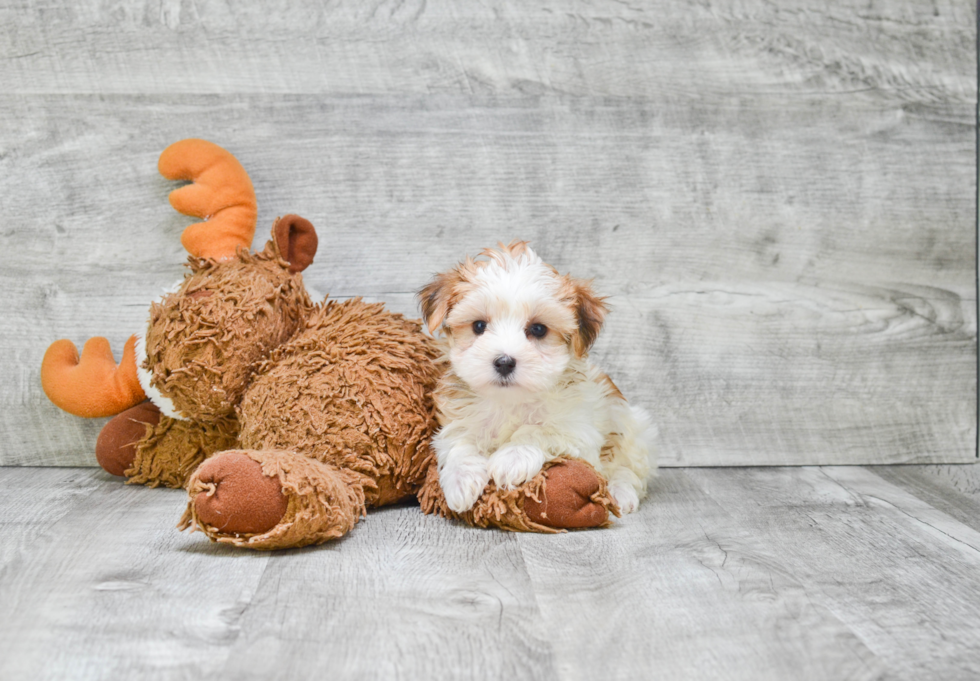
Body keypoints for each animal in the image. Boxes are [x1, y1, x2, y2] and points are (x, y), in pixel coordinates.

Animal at [418, 243, 656, 516]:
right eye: (478, 326)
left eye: (539, 329)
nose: (504, 362)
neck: (510, 401)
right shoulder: (457, 421)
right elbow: (459, 441)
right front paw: (461, 479)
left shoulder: (580, 434)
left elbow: (539, 430)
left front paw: (511, 458)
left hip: (636, 430)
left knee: (628, 470)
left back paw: (620, 493)